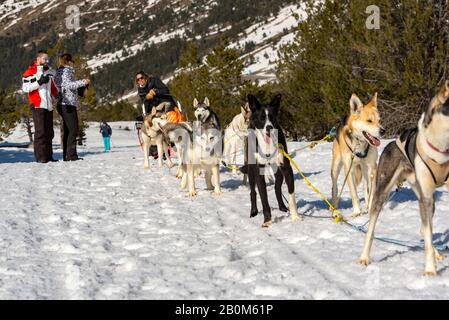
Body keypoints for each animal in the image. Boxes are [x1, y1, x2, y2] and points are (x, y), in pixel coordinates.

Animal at [240, 94, 300, 229]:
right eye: (262, 118)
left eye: (272, 116)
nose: (269, 127)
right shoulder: (258, 171)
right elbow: (263, 197)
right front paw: (267, 220)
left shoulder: (286, 168)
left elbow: (291, 194)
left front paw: (295, 217)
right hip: (251, 171)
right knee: (253, 192)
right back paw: (253, 211)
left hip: (278, 171)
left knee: (277, 188)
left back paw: (282, 207)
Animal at [358, 80, 448, 276]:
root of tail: (392, 142)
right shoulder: (426, 197)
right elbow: (428, 236)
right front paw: (430, 271)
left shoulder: (427, 198)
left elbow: (428, 232)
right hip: (382, 194)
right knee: (371, 229)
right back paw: (364, 257)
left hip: (426, 198)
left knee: (424, 228)